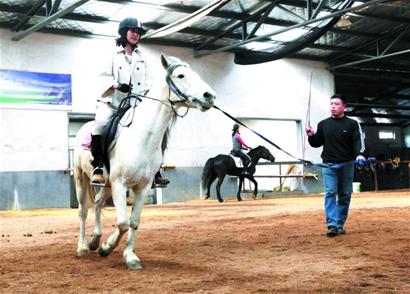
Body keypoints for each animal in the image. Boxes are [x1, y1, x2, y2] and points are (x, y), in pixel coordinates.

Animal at [74, 54, 216, 270]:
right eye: (180, 75)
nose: (210, 96)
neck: (142, 136)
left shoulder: (142, 186)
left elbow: (134, 221)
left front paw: (129, 256)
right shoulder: (120, 184)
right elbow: (123, 222)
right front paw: (107, 248)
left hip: (107, 185)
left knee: (97, 204)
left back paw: (94, 240)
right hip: (81, 178)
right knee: (83, 211)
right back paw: (82, 247)